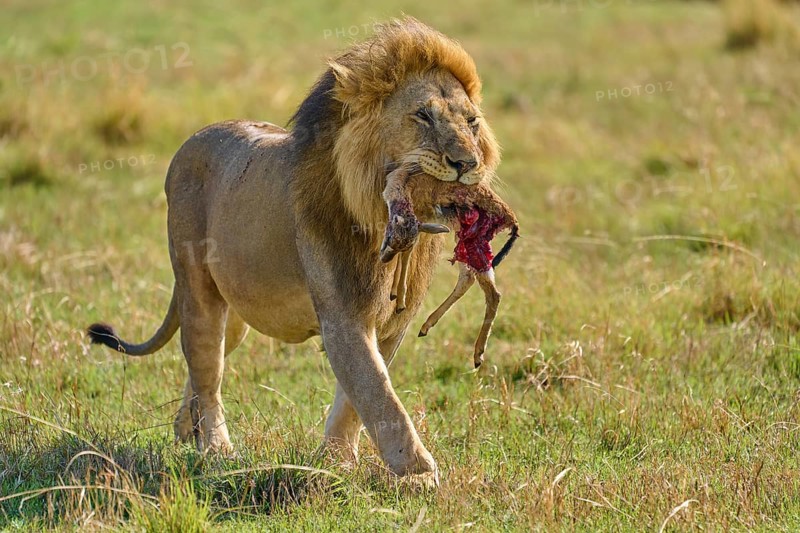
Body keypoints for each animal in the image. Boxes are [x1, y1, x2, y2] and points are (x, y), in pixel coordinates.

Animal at [86, 17, 500, 481]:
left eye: (473, 122)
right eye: (423, 115)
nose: (467, 164)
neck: (377, 214)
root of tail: (193, 139)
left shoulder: (394, 323)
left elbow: (355, 401)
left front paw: (335, 461)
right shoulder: (343, 315)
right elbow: (378, 393)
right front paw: (418, 474)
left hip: (236, 315)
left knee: (202, 366)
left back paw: (184, 429)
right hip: (198, 289)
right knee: (207, 370)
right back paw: (216, 449)